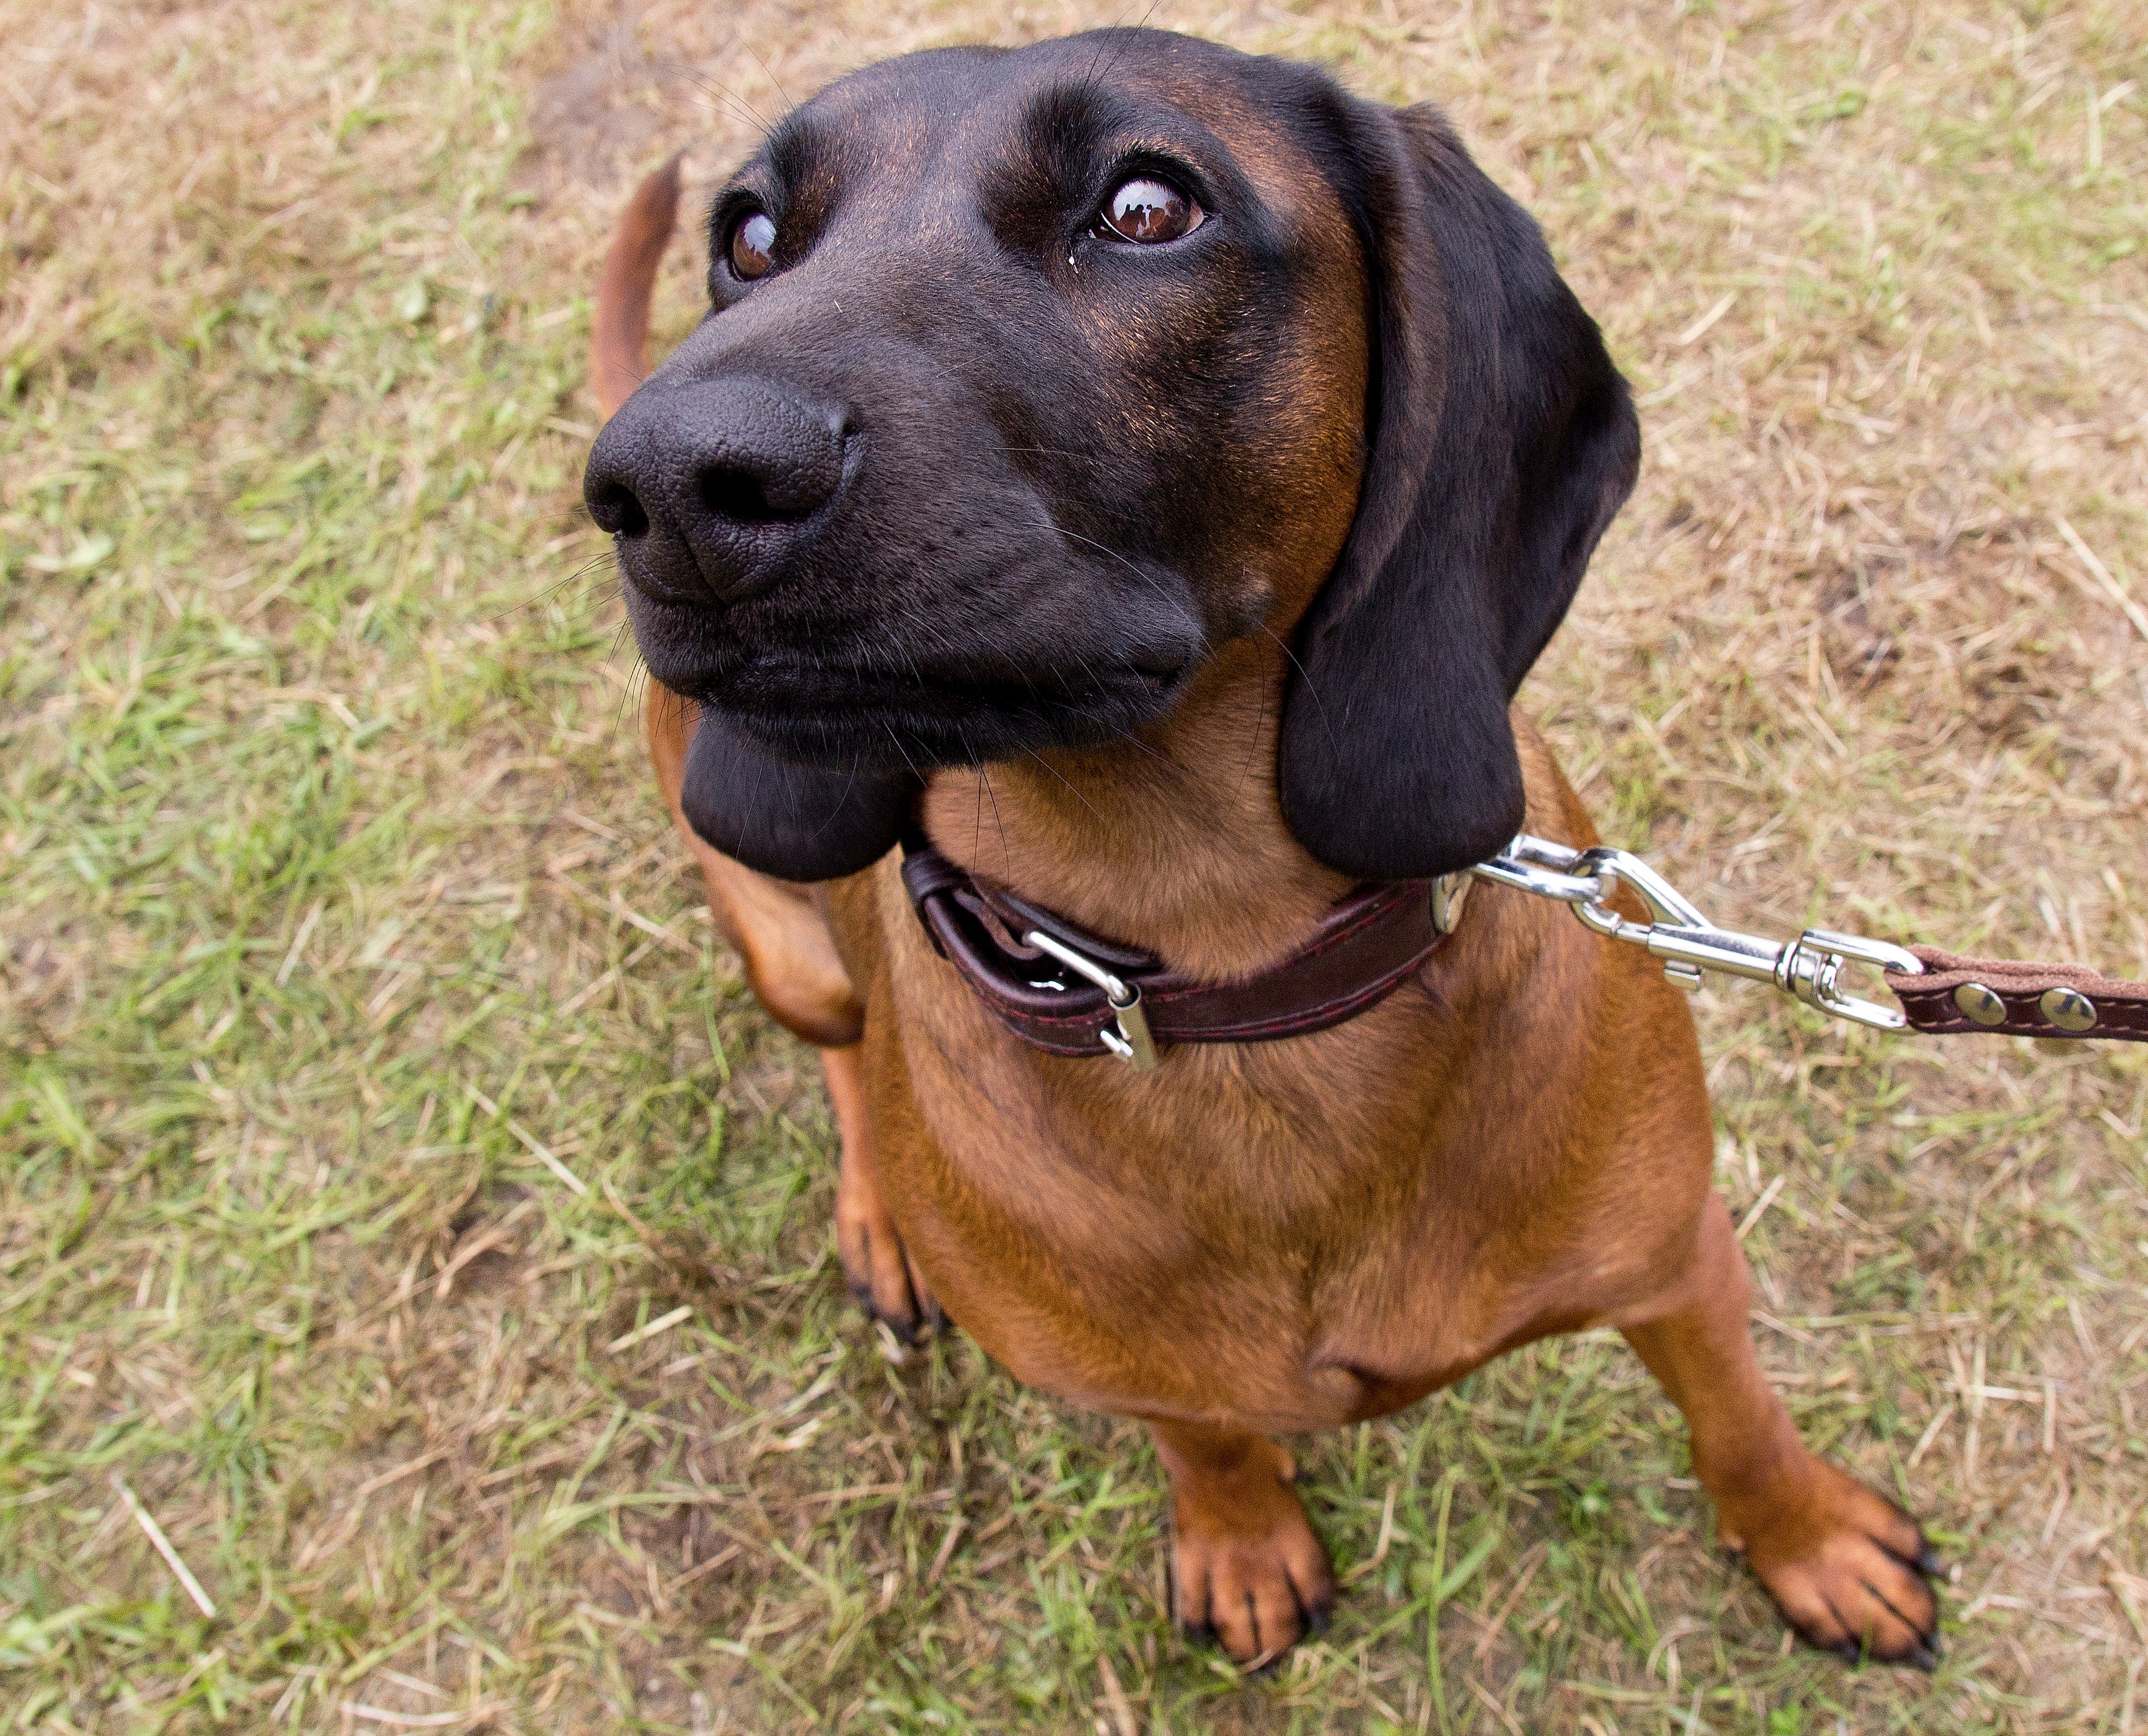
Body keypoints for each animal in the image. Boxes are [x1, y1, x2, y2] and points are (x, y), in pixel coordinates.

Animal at [580, 33, 1942, 1667]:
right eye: (751, 237)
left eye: (1148, 206)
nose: (668, 483)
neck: (1227, 975)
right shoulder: (1135, 1373)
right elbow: (1204, 1433)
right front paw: (1240, 1536)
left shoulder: (1680, 1261)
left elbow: (1737, 1419)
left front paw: (1811, 1539)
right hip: (781, 938)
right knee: (842, 1051)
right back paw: (880, 1217)